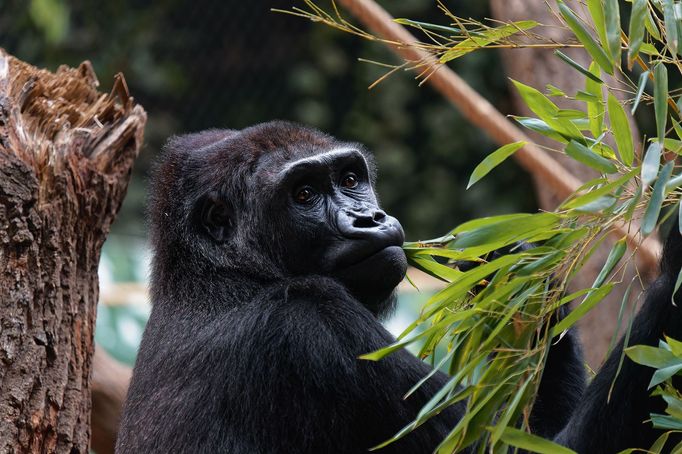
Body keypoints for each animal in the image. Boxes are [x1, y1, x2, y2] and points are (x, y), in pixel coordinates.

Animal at [117, 121, 680, 454]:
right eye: (304, 193)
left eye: (350, 178)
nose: (369, 218)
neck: (218, 274)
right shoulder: (313, 326)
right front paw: (677, 261)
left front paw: (511, 275)